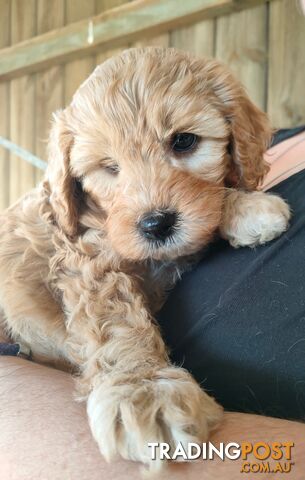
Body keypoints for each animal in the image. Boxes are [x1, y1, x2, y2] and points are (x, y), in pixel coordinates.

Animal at [0, 47, 288, 468]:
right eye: (109, 167)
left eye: (184, 141)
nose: (156, 224)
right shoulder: (88, 260)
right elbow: (115, 322)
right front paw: (144, 388)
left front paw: (246, 206)